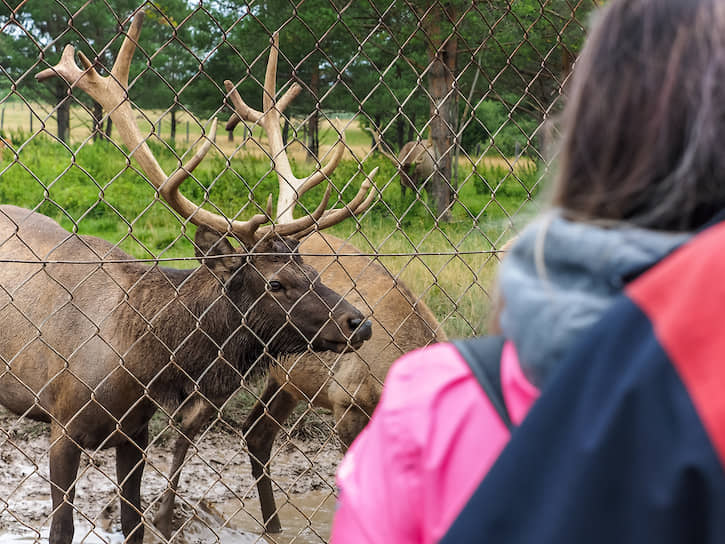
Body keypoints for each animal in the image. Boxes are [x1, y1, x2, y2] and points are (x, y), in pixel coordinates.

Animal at [152, 31, 444, 532]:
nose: (359, 324)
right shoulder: (350, 402)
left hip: (284, 376)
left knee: (255, 432)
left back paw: (272, 527)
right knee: (192, 427)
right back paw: (165, 517)